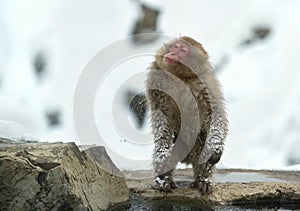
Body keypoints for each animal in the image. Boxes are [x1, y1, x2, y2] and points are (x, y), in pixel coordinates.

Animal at [146, 35, 229, 194]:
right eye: (175, 47)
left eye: (182, 50)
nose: (171, 53)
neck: (181, 76)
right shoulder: (156, 79)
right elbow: (162, 117)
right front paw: (164, 156)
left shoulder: (205, 83)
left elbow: (216, 114)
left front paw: (215, 146)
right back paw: (164, 180)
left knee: (203, 152)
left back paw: (203, 180)